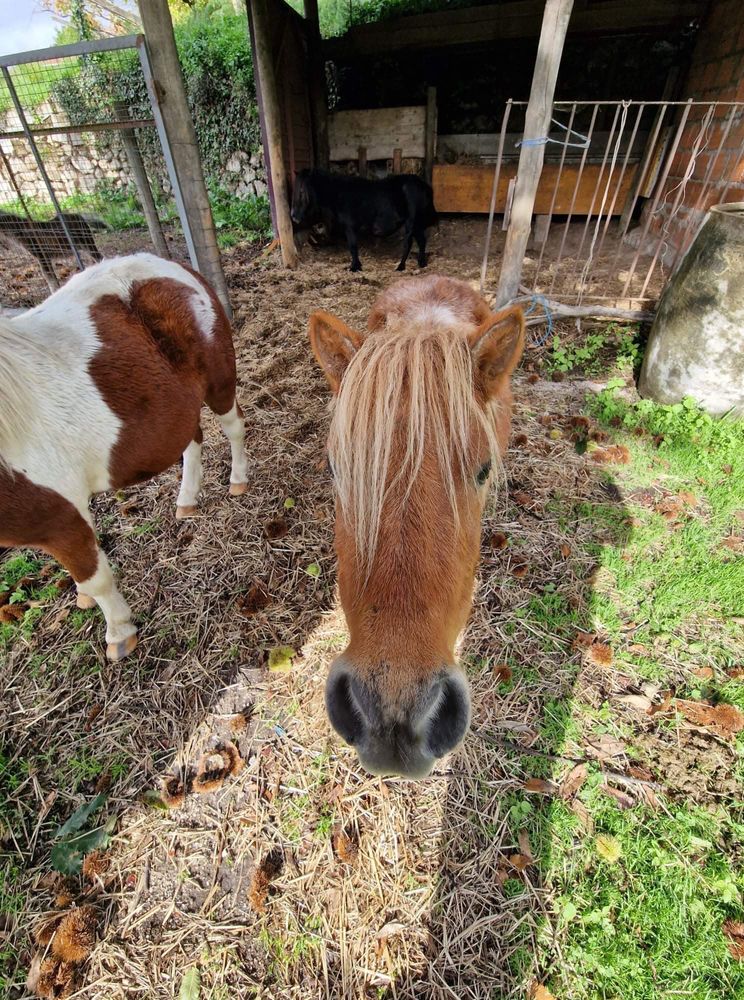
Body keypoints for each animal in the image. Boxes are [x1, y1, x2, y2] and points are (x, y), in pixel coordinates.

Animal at [0, 254, 250, 660]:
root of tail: (173, 265)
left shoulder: (61, 518)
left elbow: (96, 577)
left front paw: (119, 632)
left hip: (220, 382)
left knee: (234, 427)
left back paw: (239, 479)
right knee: (191, 439)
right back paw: (187, 499)